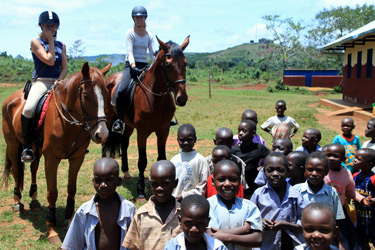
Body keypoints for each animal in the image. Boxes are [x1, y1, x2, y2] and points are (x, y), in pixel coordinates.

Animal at [1, 61, 113, 243]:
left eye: (106, 95)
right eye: (86, 95)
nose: (101, 134)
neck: (68, 122)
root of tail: (10, 99)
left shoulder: (77, 158)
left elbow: (71, 189)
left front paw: (69, 222)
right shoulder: (52, 159)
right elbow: (52, 193)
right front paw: (52, 229)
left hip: (35, 149)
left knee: (33, 168)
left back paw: (34, 200)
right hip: (12, 145)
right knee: (17, 172)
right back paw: (18, 201)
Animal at [104, 35, 189, 199]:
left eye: (185, 63)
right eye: (167, 64)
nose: (182, 98)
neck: (156, 98)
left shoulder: (163, 130)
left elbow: (161, 158)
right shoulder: (142, 131)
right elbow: (142, 161)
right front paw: (141, 190)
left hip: (129, 124)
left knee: (124, 142)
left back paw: (126, 173)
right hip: (109, 119)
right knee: (105, 141)